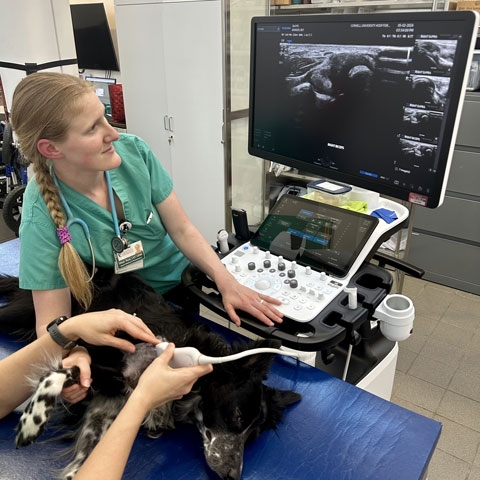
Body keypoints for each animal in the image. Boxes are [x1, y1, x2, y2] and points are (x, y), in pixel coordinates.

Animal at [0, 270, 300, 480]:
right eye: (236, 417)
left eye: (252, 436)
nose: (233, 475)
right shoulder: (90, 353)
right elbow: (59, 372)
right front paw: (33, 420)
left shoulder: (106, 405)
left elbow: (83, 463)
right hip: (23, 314)